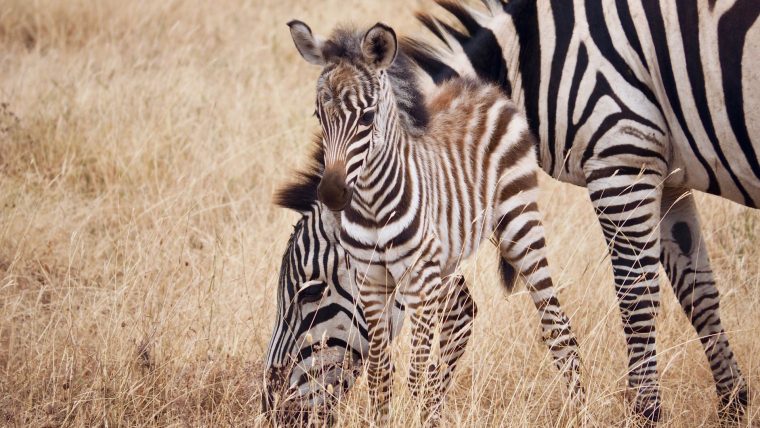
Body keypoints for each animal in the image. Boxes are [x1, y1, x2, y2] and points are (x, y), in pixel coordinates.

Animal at [290, 20, 580, 424]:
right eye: (319, 116)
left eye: (367, 118)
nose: (332, 194)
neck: (374, 206)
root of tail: (481, 87)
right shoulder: (371, 282)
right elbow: (380, 374)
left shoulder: (418, 281)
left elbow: (415, 374)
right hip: (447, 258)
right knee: (460, 319)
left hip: (519, 223)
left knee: (557, 327)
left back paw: (581, 412)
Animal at [400, 0, 756, 422]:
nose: (419, 409)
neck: (529, 63)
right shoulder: (669, 177)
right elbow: (697, 292)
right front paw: (733, 404)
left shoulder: (621, 160)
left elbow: (636, 298)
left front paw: (645, 411)